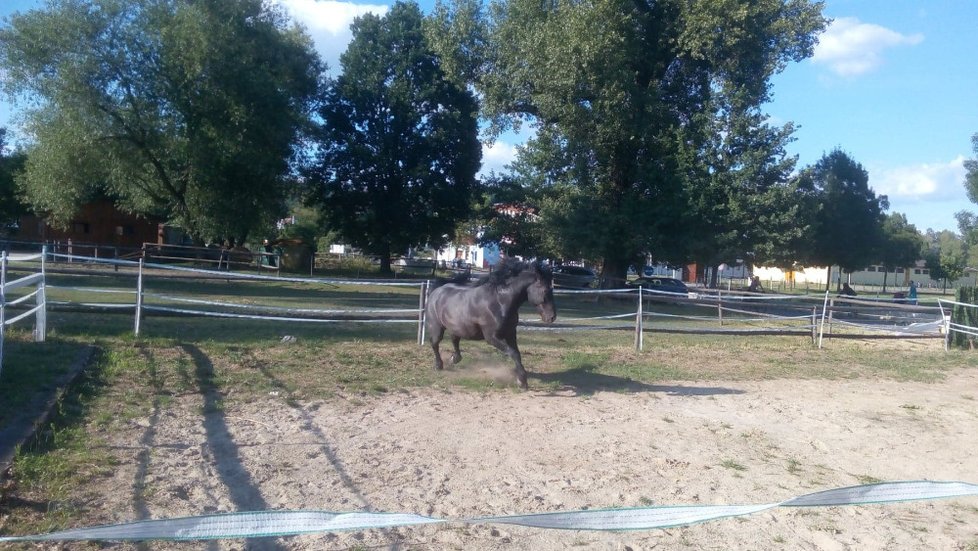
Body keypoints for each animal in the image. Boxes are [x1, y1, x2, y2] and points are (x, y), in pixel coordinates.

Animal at [422, 258, 552, 388]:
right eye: (545, 290)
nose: (551, 317)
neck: (500, 302)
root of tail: (436, 291)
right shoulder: (491, 337)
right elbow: (513, 353)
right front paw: (522, 381)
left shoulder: (510, 333)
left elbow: (517, 353)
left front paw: (522, 380)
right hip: (437, 328)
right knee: (435, 343)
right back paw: (439, 365)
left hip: (456, 327)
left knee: (454, 340)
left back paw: (454, 359)